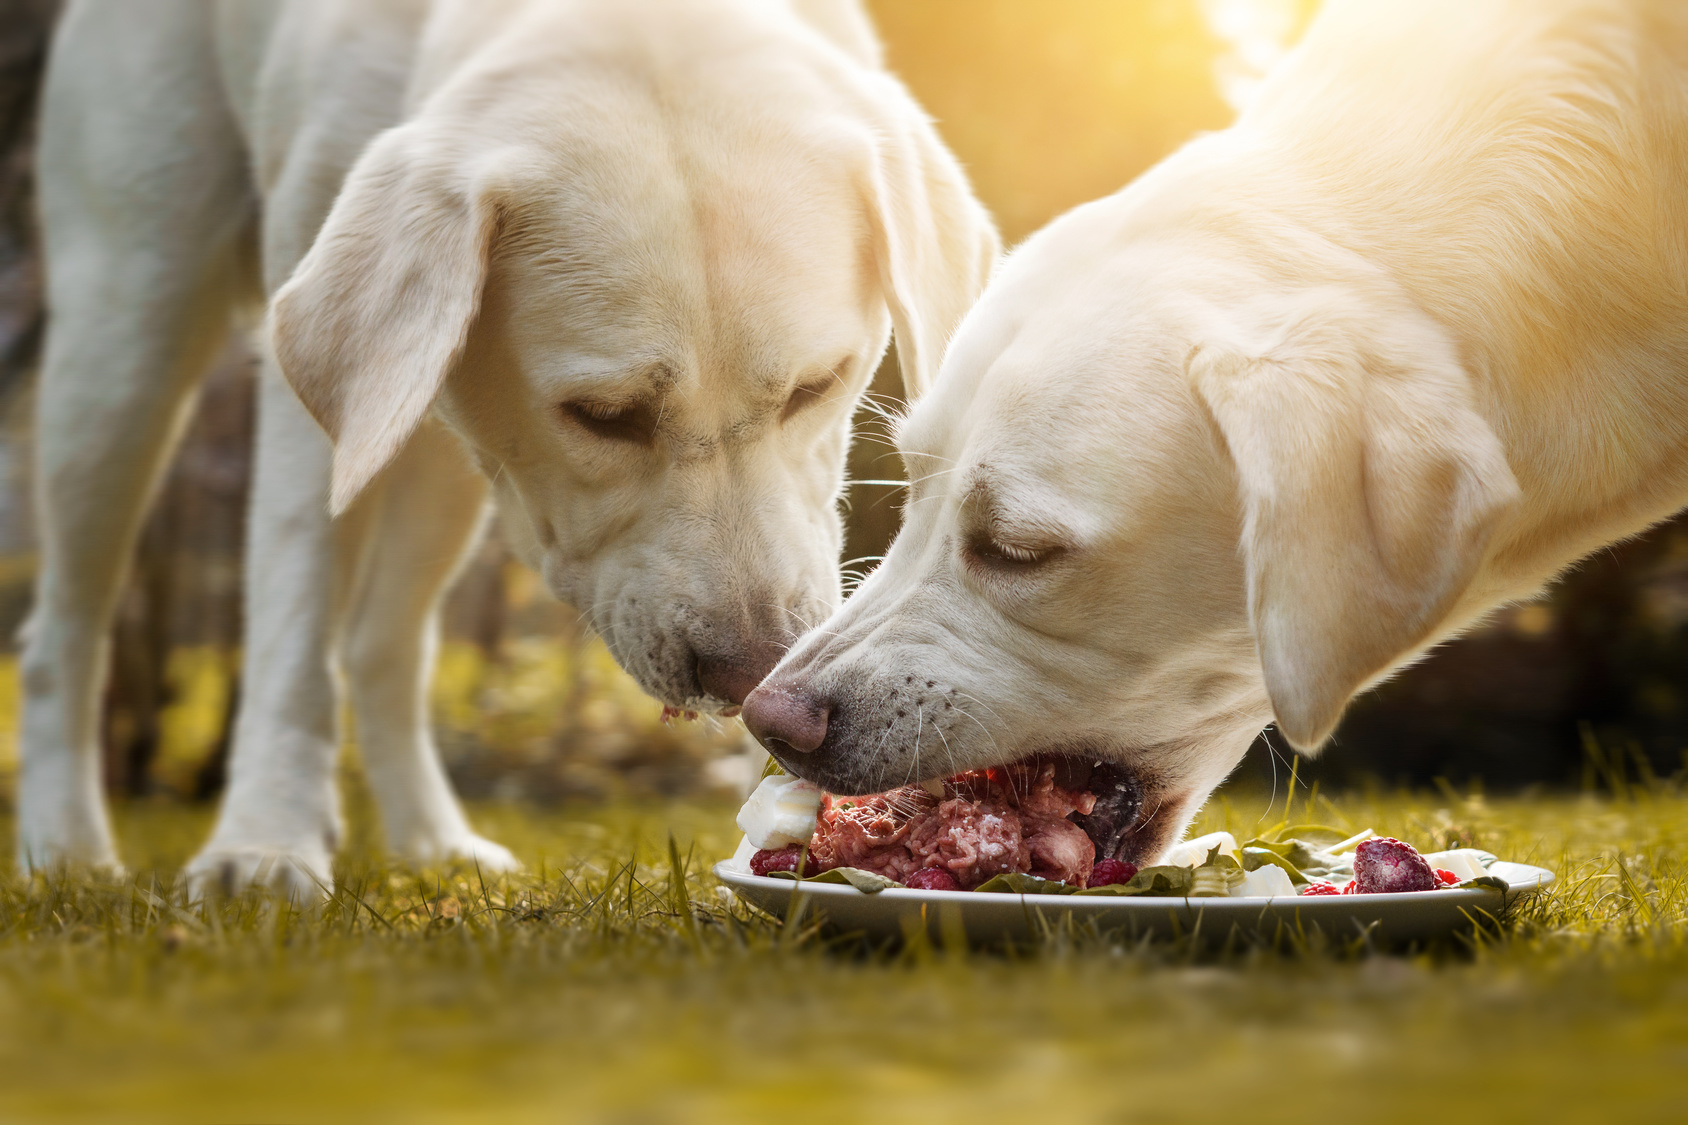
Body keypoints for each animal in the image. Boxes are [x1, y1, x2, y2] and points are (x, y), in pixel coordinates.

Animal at [19, 2, 992, 891]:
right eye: (603, 416)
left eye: (814, 386)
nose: (751, 672)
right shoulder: (318, 398)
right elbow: (293, 619)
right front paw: (264, 845)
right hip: (126, 335)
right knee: (65, 629)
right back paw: (64, 846)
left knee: (383, 644)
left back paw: (431, 841)